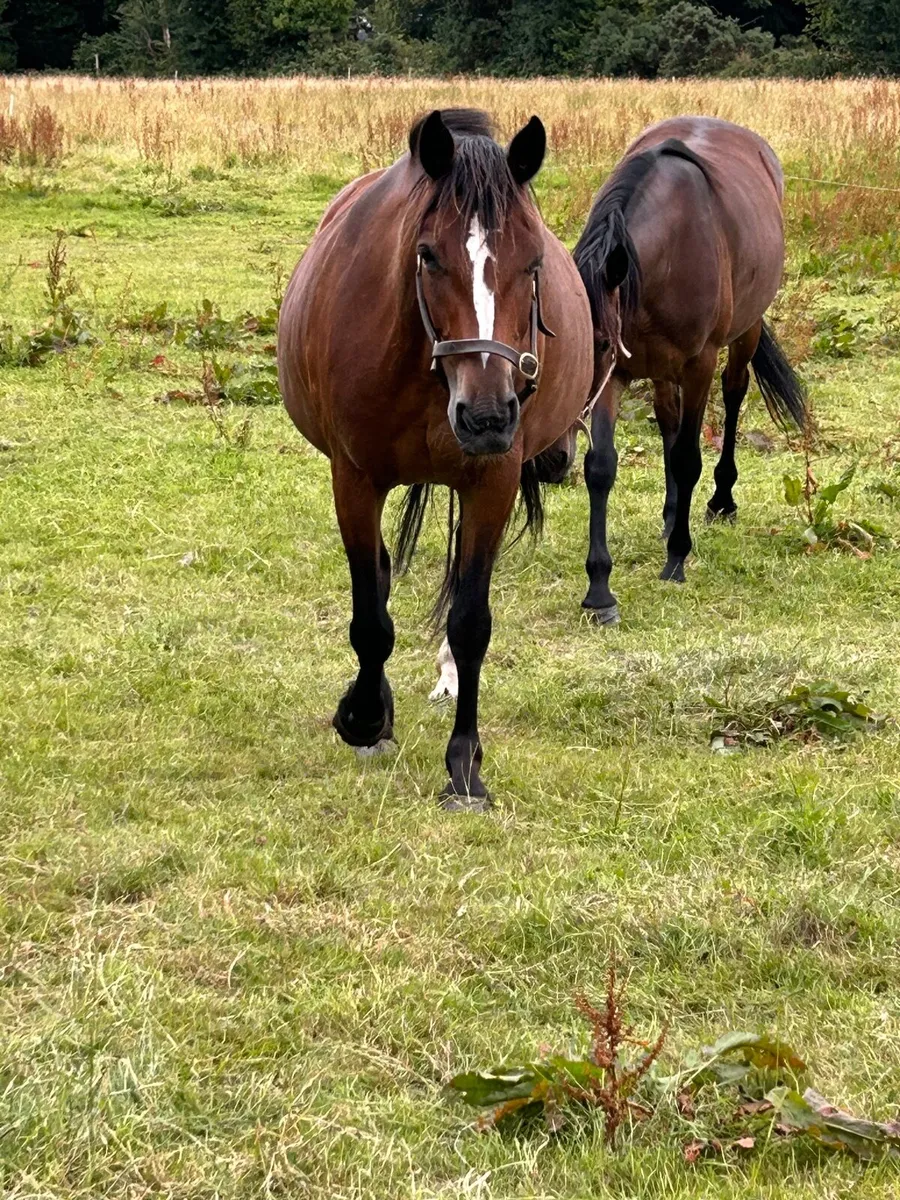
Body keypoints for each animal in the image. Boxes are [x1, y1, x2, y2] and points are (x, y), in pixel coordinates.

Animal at [277, 108, 593, 810]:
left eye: (534, 261)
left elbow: (471, 622)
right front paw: (365, 717)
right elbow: (371, 615)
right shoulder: (354, 479)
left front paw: (465, 766)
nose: (488, 416)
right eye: (427, 255)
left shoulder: (492, 482)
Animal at [571, 115, 807, 624]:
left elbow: (687, 456)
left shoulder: (699, 364)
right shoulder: (617, 375)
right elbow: (602, 466)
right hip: (661, 367)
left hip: (744, 332)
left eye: (599, 342)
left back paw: (721, 502)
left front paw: (677, 558)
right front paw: (599, 590)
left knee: (734, 394)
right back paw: (670, 510)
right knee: (667, 418)